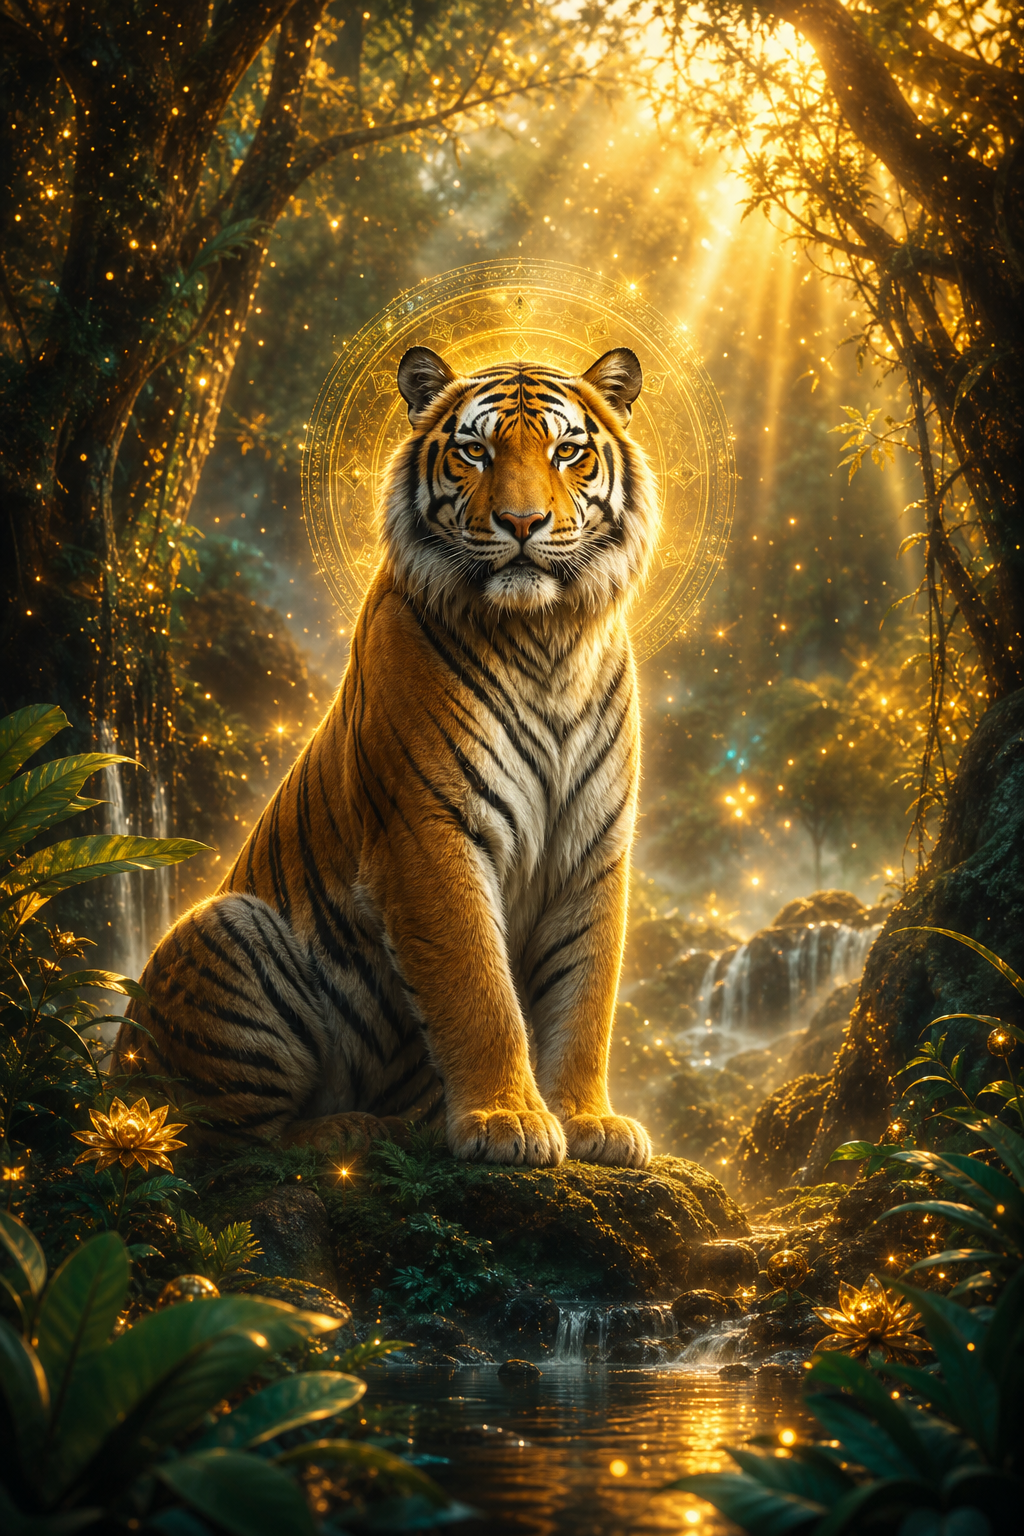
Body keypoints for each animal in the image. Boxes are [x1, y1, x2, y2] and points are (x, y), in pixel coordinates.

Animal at [115, 345, 659, 1168]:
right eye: (476, 452)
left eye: (567, 452)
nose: (522, 523)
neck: (546, 642)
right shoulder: (429, 828)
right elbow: (478, 990)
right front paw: (507, 1120)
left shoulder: (592, 844)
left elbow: (585, 993)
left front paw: (590, 1121)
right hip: (225, 929)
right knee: (226, 1143)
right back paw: (360, 1131)